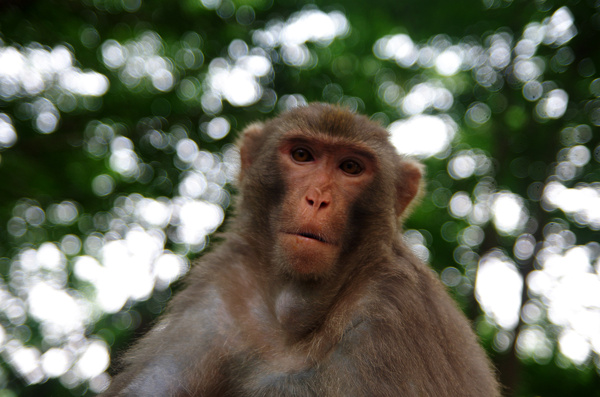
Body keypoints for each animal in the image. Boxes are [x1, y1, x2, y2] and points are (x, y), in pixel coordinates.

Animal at [103, 103, 502, 396]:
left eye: (350, 167)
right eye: (302, 155)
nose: (318, 198)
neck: (297, 312)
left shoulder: (394, 314)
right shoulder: (220, 293)